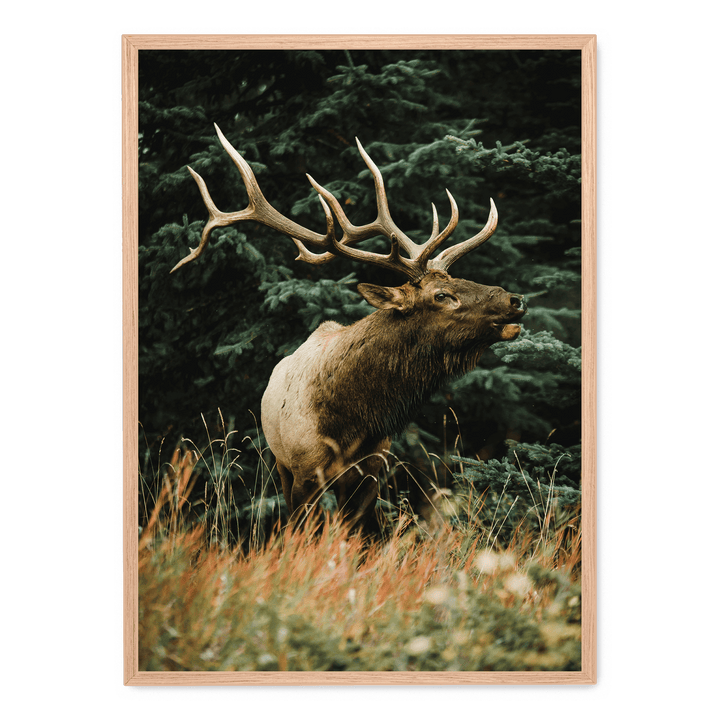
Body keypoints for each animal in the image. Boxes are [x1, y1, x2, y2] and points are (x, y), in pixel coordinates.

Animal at [172, 124, 527, 532]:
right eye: (441, 295)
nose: (515, 299)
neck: (351, 424)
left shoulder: (372, 472)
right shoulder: (304, 470)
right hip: (279, 462)